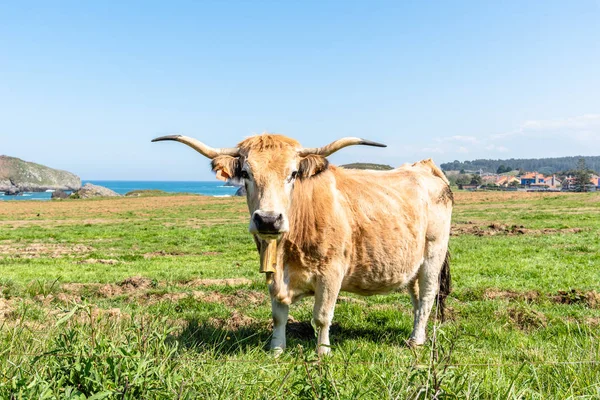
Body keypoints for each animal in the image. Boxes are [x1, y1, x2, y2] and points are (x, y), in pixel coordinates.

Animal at [152, 134, 452, 356]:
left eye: (293, 173)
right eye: (246, 173)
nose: (268, 219)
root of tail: (425, 166)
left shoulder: (332, 272)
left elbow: (322, 315)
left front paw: (323, 352)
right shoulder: (275, 274)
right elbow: (278, 315)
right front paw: (276, 350)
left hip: (433, 256)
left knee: (427, 296)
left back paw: (416, 341)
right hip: (411, 264)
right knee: (416, 298)